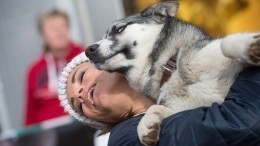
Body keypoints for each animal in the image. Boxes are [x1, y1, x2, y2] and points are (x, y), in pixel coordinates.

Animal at [86, 0, 260, 145]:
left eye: (120, 29)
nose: (88, 50)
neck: (173, 67)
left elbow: (225, 43)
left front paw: (249, 46)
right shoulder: (189, 108)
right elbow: (155, 108)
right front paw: (146, 125)